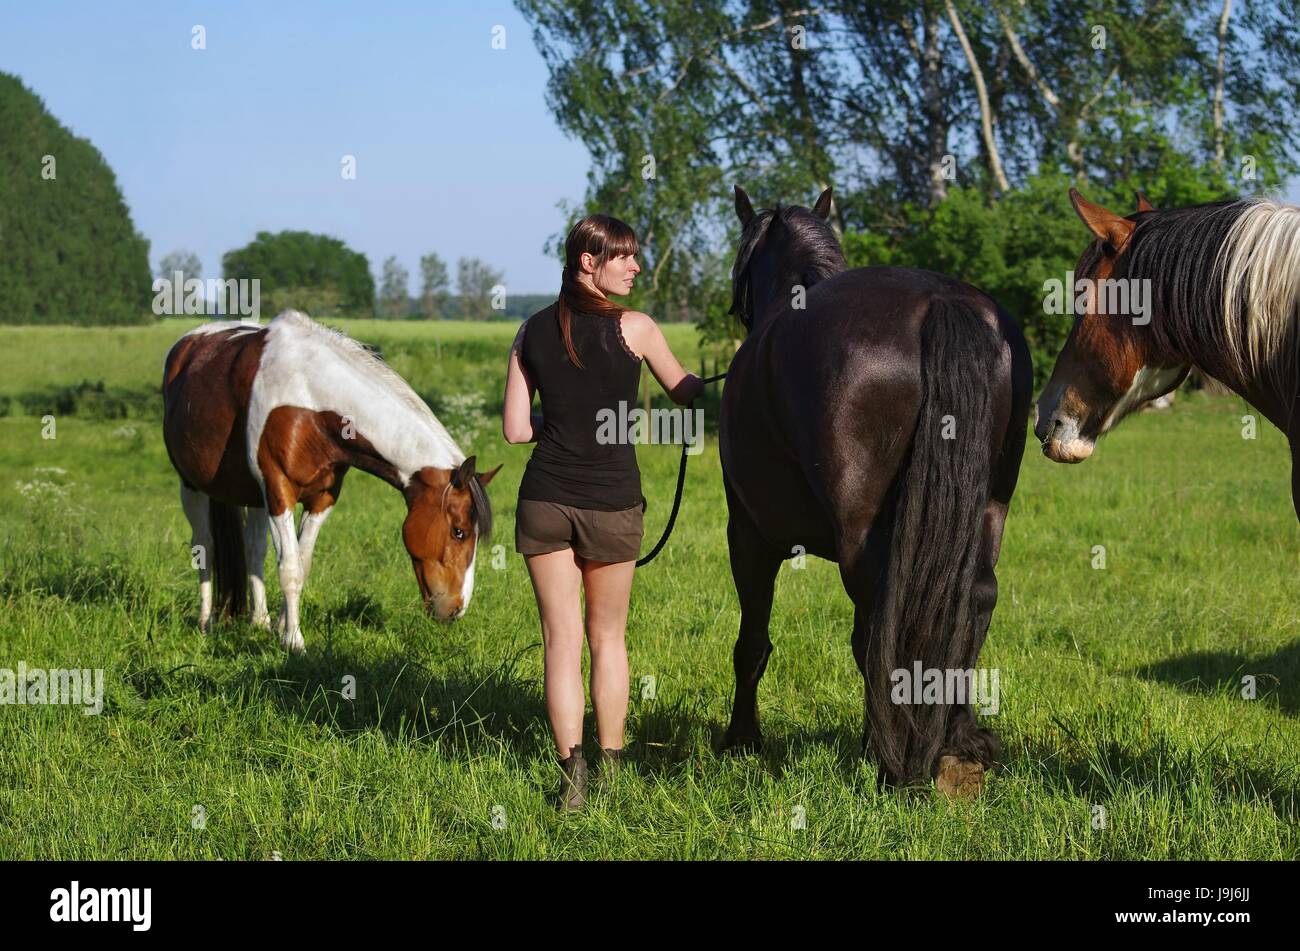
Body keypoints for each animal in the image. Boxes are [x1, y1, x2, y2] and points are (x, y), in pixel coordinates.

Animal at [161, 309, 500, 652]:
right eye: (458, 532)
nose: (455, 609)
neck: (311, 400)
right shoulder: (279, 492)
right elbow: (290, 568)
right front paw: (294, 642)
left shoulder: (322, 498)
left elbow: (302, 562)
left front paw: (282, 627)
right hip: (192, 486)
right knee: (205, 545)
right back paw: (206, 622)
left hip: (254, 496)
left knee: (254, 548)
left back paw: (260, 621)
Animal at [720, 186, 1033, 795]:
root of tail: (940, 301)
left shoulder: (748, 535)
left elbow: (754, 643)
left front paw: (742, 739)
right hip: (991, 505)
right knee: (977, 594)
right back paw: (956, 740)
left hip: (856, 537)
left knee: (877, 627)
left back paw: (890, 757)